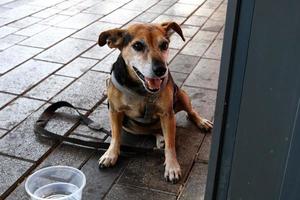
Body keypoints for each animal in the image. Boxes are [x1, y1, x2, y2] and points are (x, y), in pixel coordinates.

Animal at [97, 21, 212, 183]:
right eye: (137, 45)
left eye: (164, 45)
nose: (161, 70)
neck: (141, 89)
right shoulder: (115, 111)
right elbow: (115, 136)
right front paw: (110, 154)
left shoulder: (167, 114)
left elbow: (171, 144)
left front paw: (172, 166)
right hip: (130, 126)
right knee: (150, 130)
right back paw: (159, 137)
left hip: (181, 95)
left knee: (190, 112)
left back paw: (201, 122)